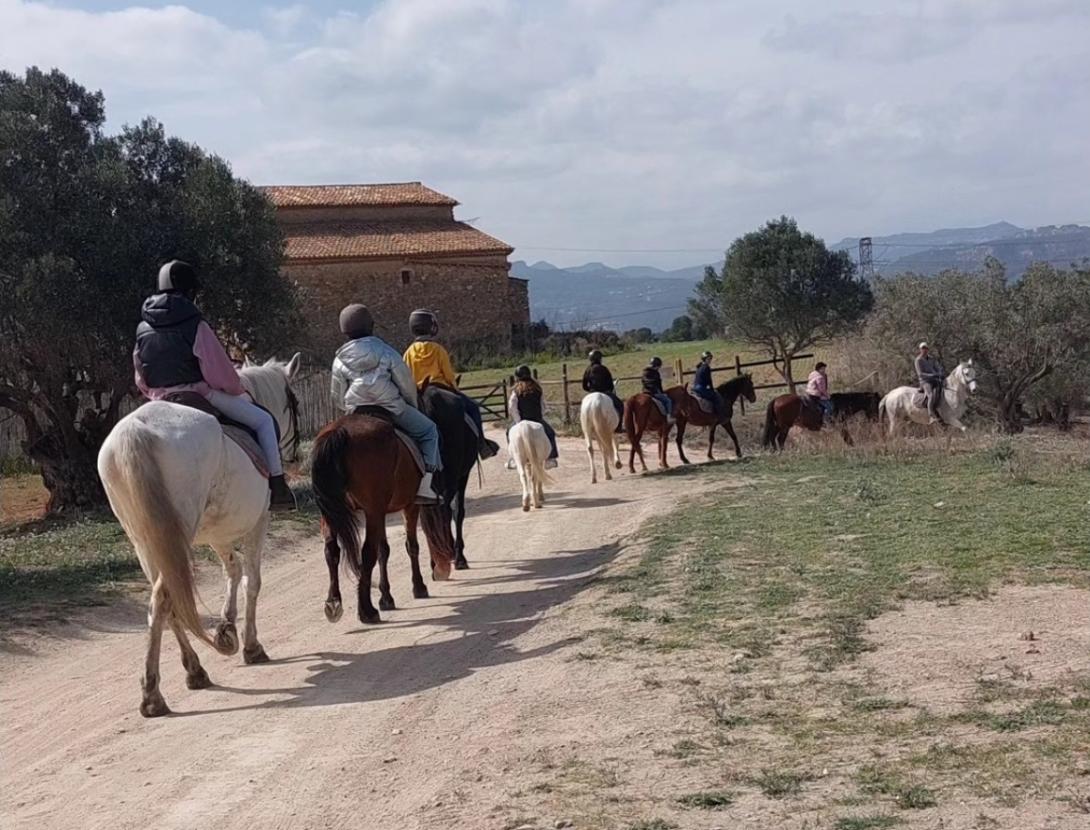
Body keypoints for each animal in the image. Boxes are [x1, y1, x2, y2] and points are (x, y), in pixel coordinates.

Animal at [96, 354, 302, 718]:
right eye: (294, 403)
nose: (296, 455)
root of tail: (137, 430)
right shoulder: (258, 522)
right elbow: (252, 581)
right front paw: (250, 645)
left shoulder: (218, 534)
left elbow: (232, 570)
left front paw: (227, 626)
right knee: (165, 599)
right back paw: (154, 694)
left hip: (147, 542)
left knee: (166, 601)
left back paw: (193, 671)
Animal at [310, 411, 457, 625]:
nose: (446, 562)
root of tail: (340, 431)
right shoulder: (408, 506)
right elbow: (411, 546)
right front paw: (418, 586)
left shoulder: (381, 513)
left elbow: (384, 551)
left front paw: (386, 597)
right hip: (372, 511)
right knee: (367, 553)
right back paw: (367, 610)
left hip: (332, 512)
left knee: (332, 551)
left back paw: (334, 603)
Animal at [418, 383, 478, 570]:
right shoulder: (462, 475)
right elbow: (458, 511)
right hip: (453, 477)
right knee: (445, 511)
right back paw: (454, 556)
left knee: (429, 516)